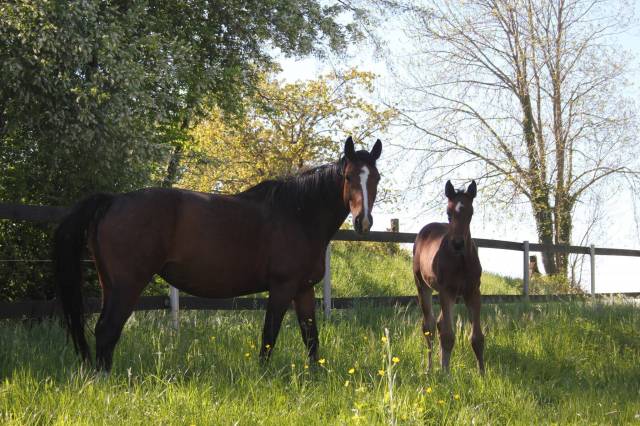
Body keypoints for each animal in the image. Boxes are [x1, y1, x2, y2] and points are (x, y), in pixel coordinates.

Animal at [53, 136, 380, 370]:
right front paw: (262, 377)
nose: (363, 222)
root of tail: (112, 200)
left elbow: (311, 338)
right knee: (107, 330)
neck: (298, 214)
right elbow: (269, 336)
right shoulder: (282, 287)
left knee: (103, 333)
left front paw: (316, 376)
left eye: (375, 178)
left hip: (110, 285)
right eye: (348, 177)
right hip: (128, 285)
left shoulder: (303, 290)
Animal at [412, 181, 482, 374]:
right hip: (423, 286)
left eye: (470, 213)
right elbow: (448, 335)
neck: (461, 261)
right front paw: (446, 374)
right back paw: (429, 368)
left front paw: (482, 374)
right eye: (448, 214)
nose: (457, 244)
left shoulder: (473, 292)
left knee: (439, 323)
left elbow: (477, 338)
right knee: (429, 327)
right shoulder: (446, 291)